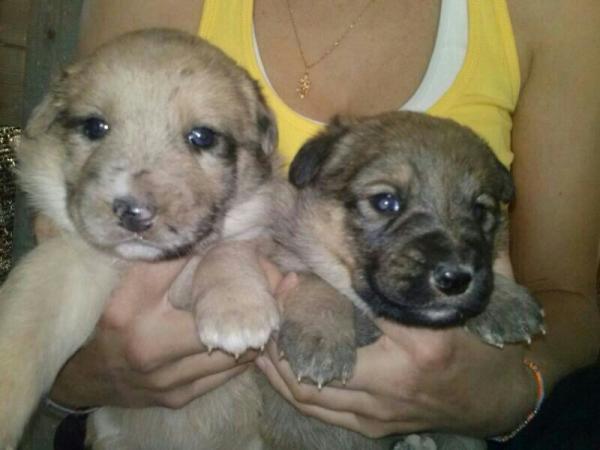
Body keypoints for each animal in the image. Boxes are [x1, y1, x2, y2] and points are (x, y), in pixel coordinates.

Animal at [0, 29, 282, 448]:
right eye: (94, 127)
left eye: (202, 137)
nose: (133, 212)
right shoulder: (69, 263)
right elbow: (24, 326)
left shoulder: (257, 232)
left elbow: (226, 251)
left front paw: (236, 311)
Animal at [260, 110, 548, 450]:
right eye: (385, 202)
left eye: (480, 211)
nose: (455, 279)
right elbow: (315, 280)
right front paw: (321, 337)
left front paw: (506, 302)